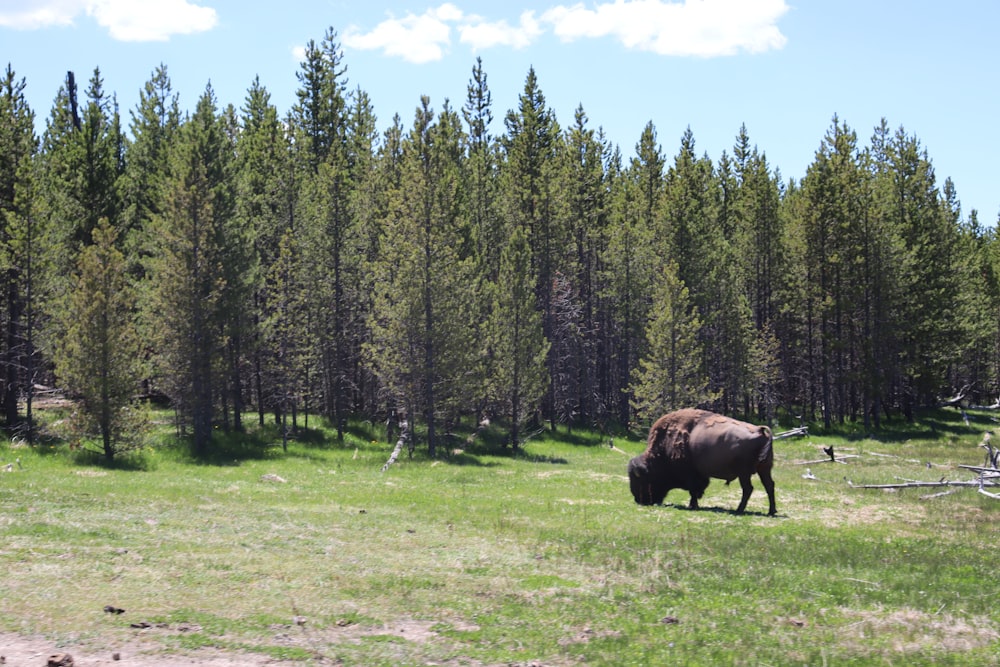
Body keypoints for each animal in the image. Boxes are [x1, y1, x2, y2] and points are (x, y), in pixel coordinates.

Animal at [628, 410, 776, 516]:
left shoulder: (692, 475)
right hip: (764, 469)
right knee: (769, 486)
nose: (639, 500)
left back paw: (739, 510)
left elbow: (693, 491)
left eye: (640, 480)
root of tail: (759, 430)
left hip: (744, 473)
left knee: (748, 489)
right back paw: (771, 511)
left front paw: (692, 505)